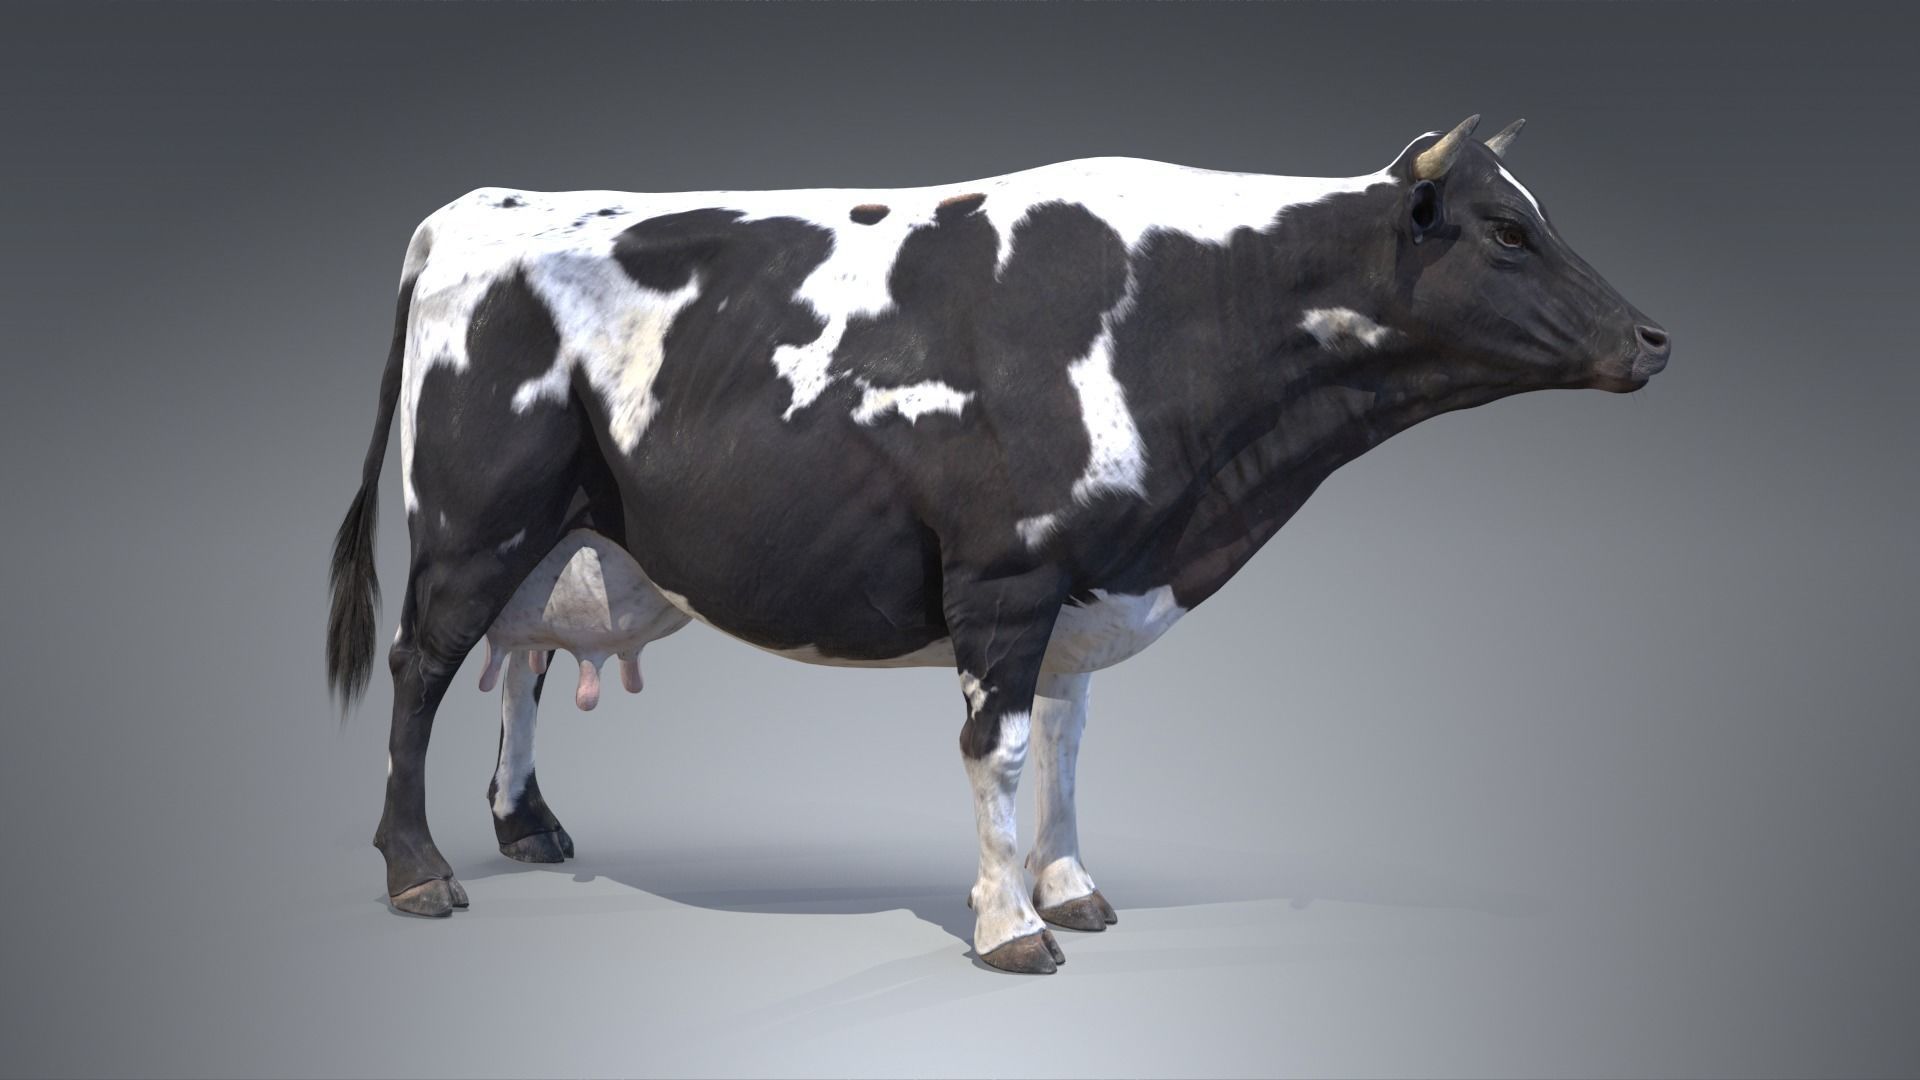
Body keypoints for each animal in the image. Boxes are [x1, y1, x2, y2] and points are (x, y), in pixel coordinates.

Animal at [326, 116, 1669, 973]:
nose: (1654, 338)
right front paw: (1007, 925)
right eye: (1505, 231)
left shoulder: (1091, 583)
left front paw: (1071, 892)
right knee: (422, 671)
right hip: (471, 525)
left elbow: (1070, 749)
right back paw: (416, 870)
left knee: (523, 658)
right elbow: (1003, 754)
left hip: (564, 530)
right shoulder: (1008, 579)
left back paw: (529, 826)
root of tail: (481, 206)